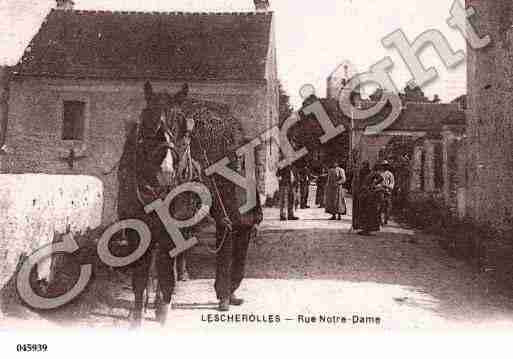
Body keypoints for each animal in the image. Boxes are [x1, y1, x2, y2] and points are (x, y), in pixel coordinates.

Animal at [117, 81, 260, 330]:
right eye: (147, 122)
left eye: (183, 129)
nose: (165, 172)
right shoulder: (138, 230)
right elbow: (140, 275)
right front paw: (137, 314)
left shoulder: (172, 230)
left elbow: (165, 271)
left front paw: (162, 310)